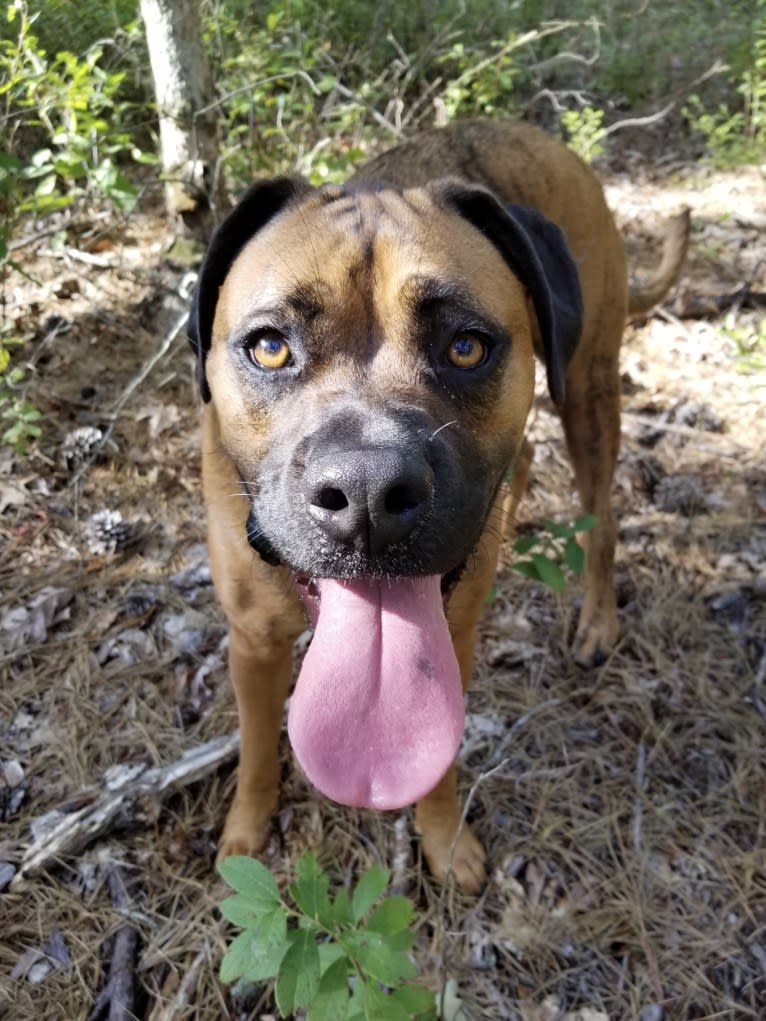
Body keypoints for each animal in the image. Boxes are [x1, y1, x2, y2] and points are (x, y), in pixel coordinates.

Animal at [187, 115, 690, 890]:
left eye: (465, 346)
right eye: (270, 347)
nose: (367, 493)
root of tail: (545, 138)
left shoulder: (451, 639)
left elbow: (438, 758)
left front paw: (444, 839)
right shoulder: (253, 642)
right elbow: (256, 748)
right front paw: (247, 831)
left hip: (589, 391)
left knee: (601, 513)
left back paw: (598, 618)